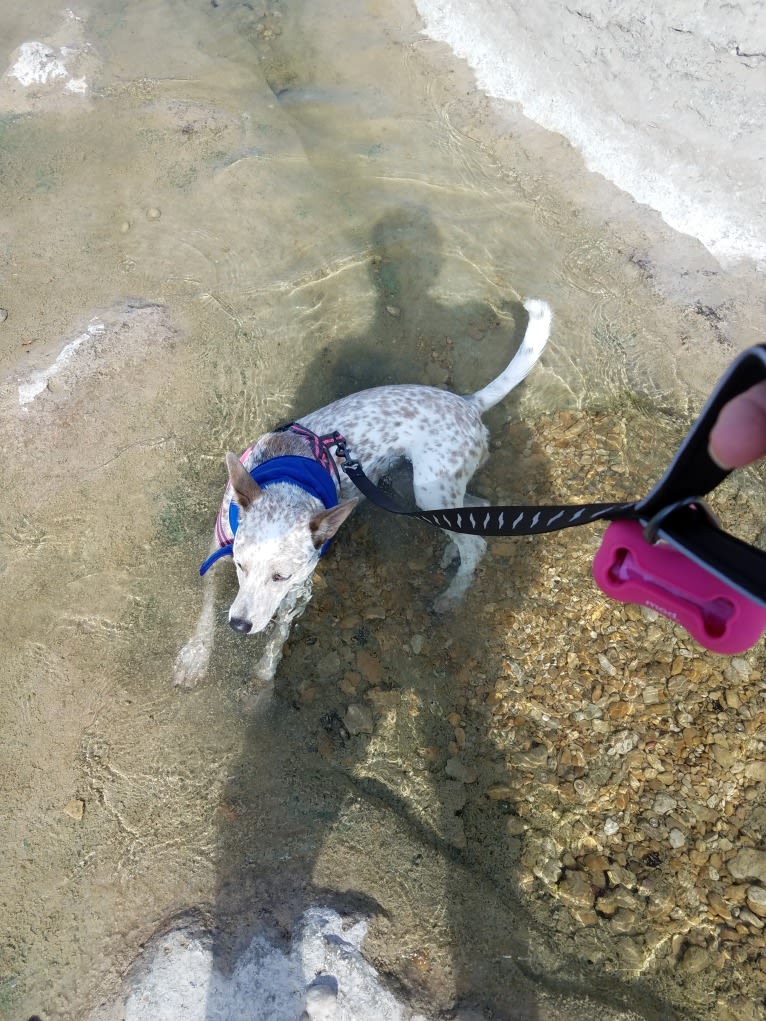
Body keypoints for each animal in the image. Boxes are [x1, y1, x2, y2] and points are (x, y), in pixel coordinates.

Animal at [176, 298, 551, 690]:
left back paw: (452, 595)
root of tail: (469, 403)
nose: (239, 625)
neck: (287, 479)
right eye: (240, 565)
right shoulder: (218, 548)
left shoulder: (301, 587)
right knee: (478, 509)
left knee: (476, 543)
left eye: (282, 576)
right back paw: (452, 550)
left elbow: (279, 634)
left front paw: (265, 672)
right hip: (426, 488)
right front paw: (195, 657)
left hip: (428, 489)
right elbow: (206, 605)